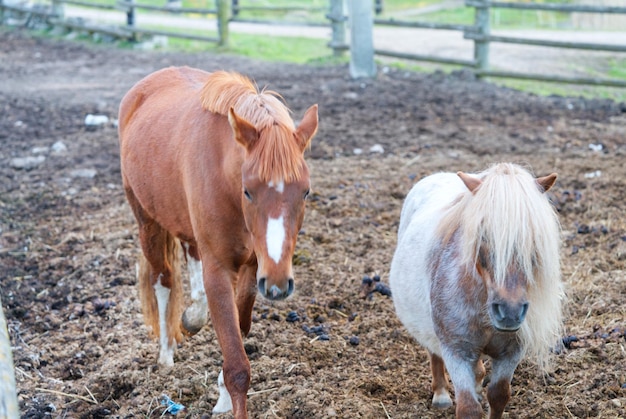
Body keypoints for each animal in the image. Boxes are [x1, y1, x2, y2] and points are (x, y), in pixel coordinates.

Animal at [118, 67, 316, 418]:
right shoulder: (221, 269)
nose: (279, 284)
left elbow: (239, 324)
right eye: (248, 191)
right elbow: (237, 366)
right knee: (162, 279)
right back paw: (166, 352)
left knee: (191, 255)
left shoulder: (255, 266)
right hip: (146, 221)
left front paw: (222, 396)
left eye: (305, 191)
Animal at [390, 162, 560, 418]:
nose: (509, 312)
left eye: (534, 236)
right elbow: (468, 407)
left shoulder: (510, 353)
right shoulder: (457, 352)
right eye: (483, 233)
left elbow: (499, 395)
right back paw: (441, 394)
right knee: (433, 351)